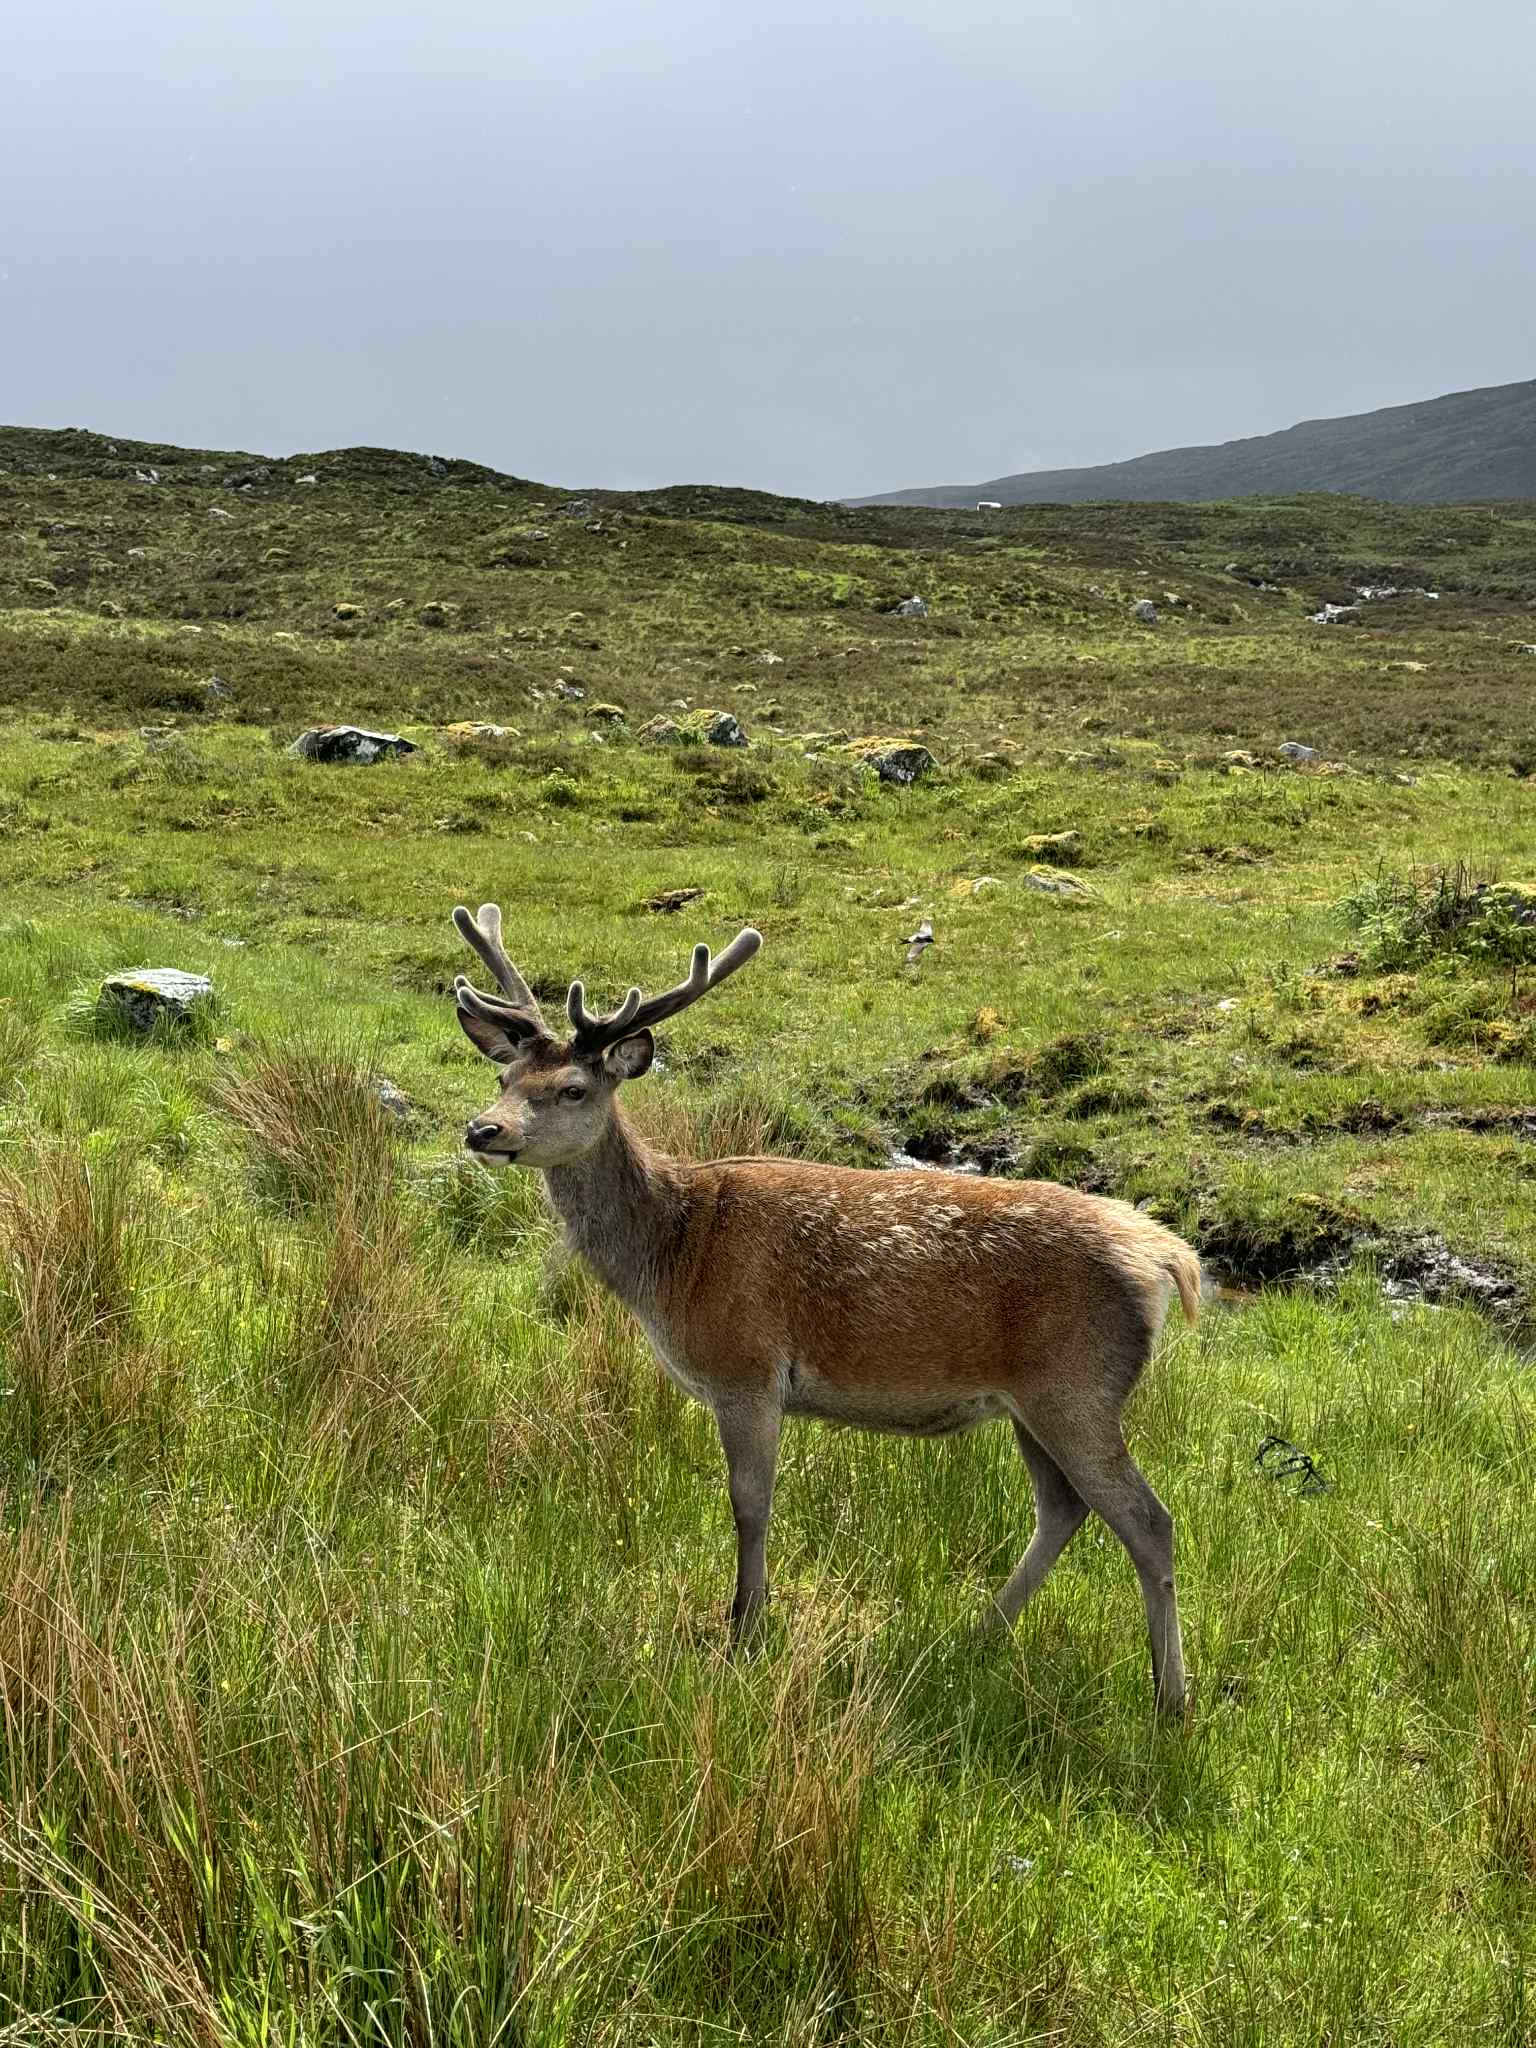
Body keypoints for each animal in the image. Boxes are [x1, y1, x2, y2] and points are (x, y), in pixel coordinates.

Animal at [452, 904, 1202, 1715]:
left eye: (572, 1090)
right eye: (504, 1075)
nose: (483, 1130)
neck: (673, 1255)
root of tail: (1167, 1259)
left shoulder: (745, 1368)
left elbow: (750, 1504)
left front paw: (744, 1632)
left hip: (1078, 1382)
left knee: (1147, 1520)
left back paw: (1169, 1701)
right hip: (1034, 1398)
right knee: (1064, 1507)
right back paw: (974, 1637)